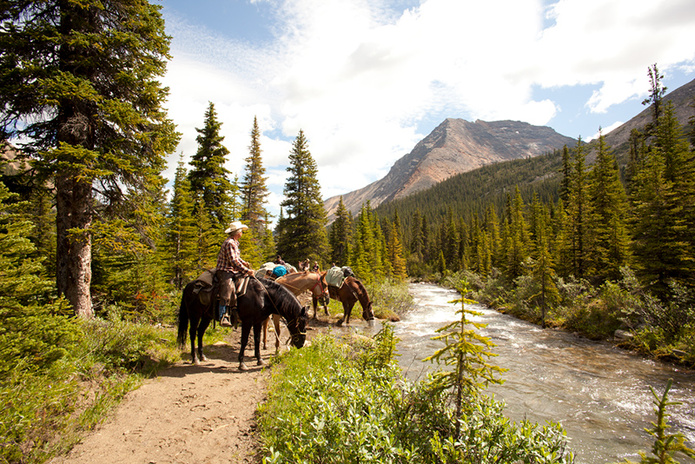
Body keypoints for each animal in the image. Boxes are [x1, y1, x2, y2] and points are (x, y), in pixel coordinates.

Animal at [178, 276, 308, 370]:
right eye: (300, 324)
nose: (301, 344)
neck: (263, 296)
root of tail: (189, 285)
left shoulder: (258, 321)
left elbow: (257, 339)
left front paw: (259, 360)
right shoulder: (247, 321)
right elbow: (244, 341)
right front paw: (241, 363)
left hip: (206, 316)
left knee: (200, 332)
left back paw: (202, 356)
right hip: (194, 315)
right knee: (192, 333)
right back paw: (195, 358)